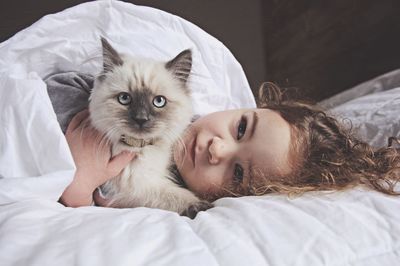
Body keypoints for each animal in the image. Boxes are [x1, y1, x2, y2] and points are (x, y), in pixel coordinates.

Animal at [88, 39, 211, 218]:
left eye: (159, 101)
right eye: (124, 98)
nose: (141, 119)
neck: (144, 147)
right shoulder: (136, 186)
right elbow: (175, 194)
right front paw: (201, 205)